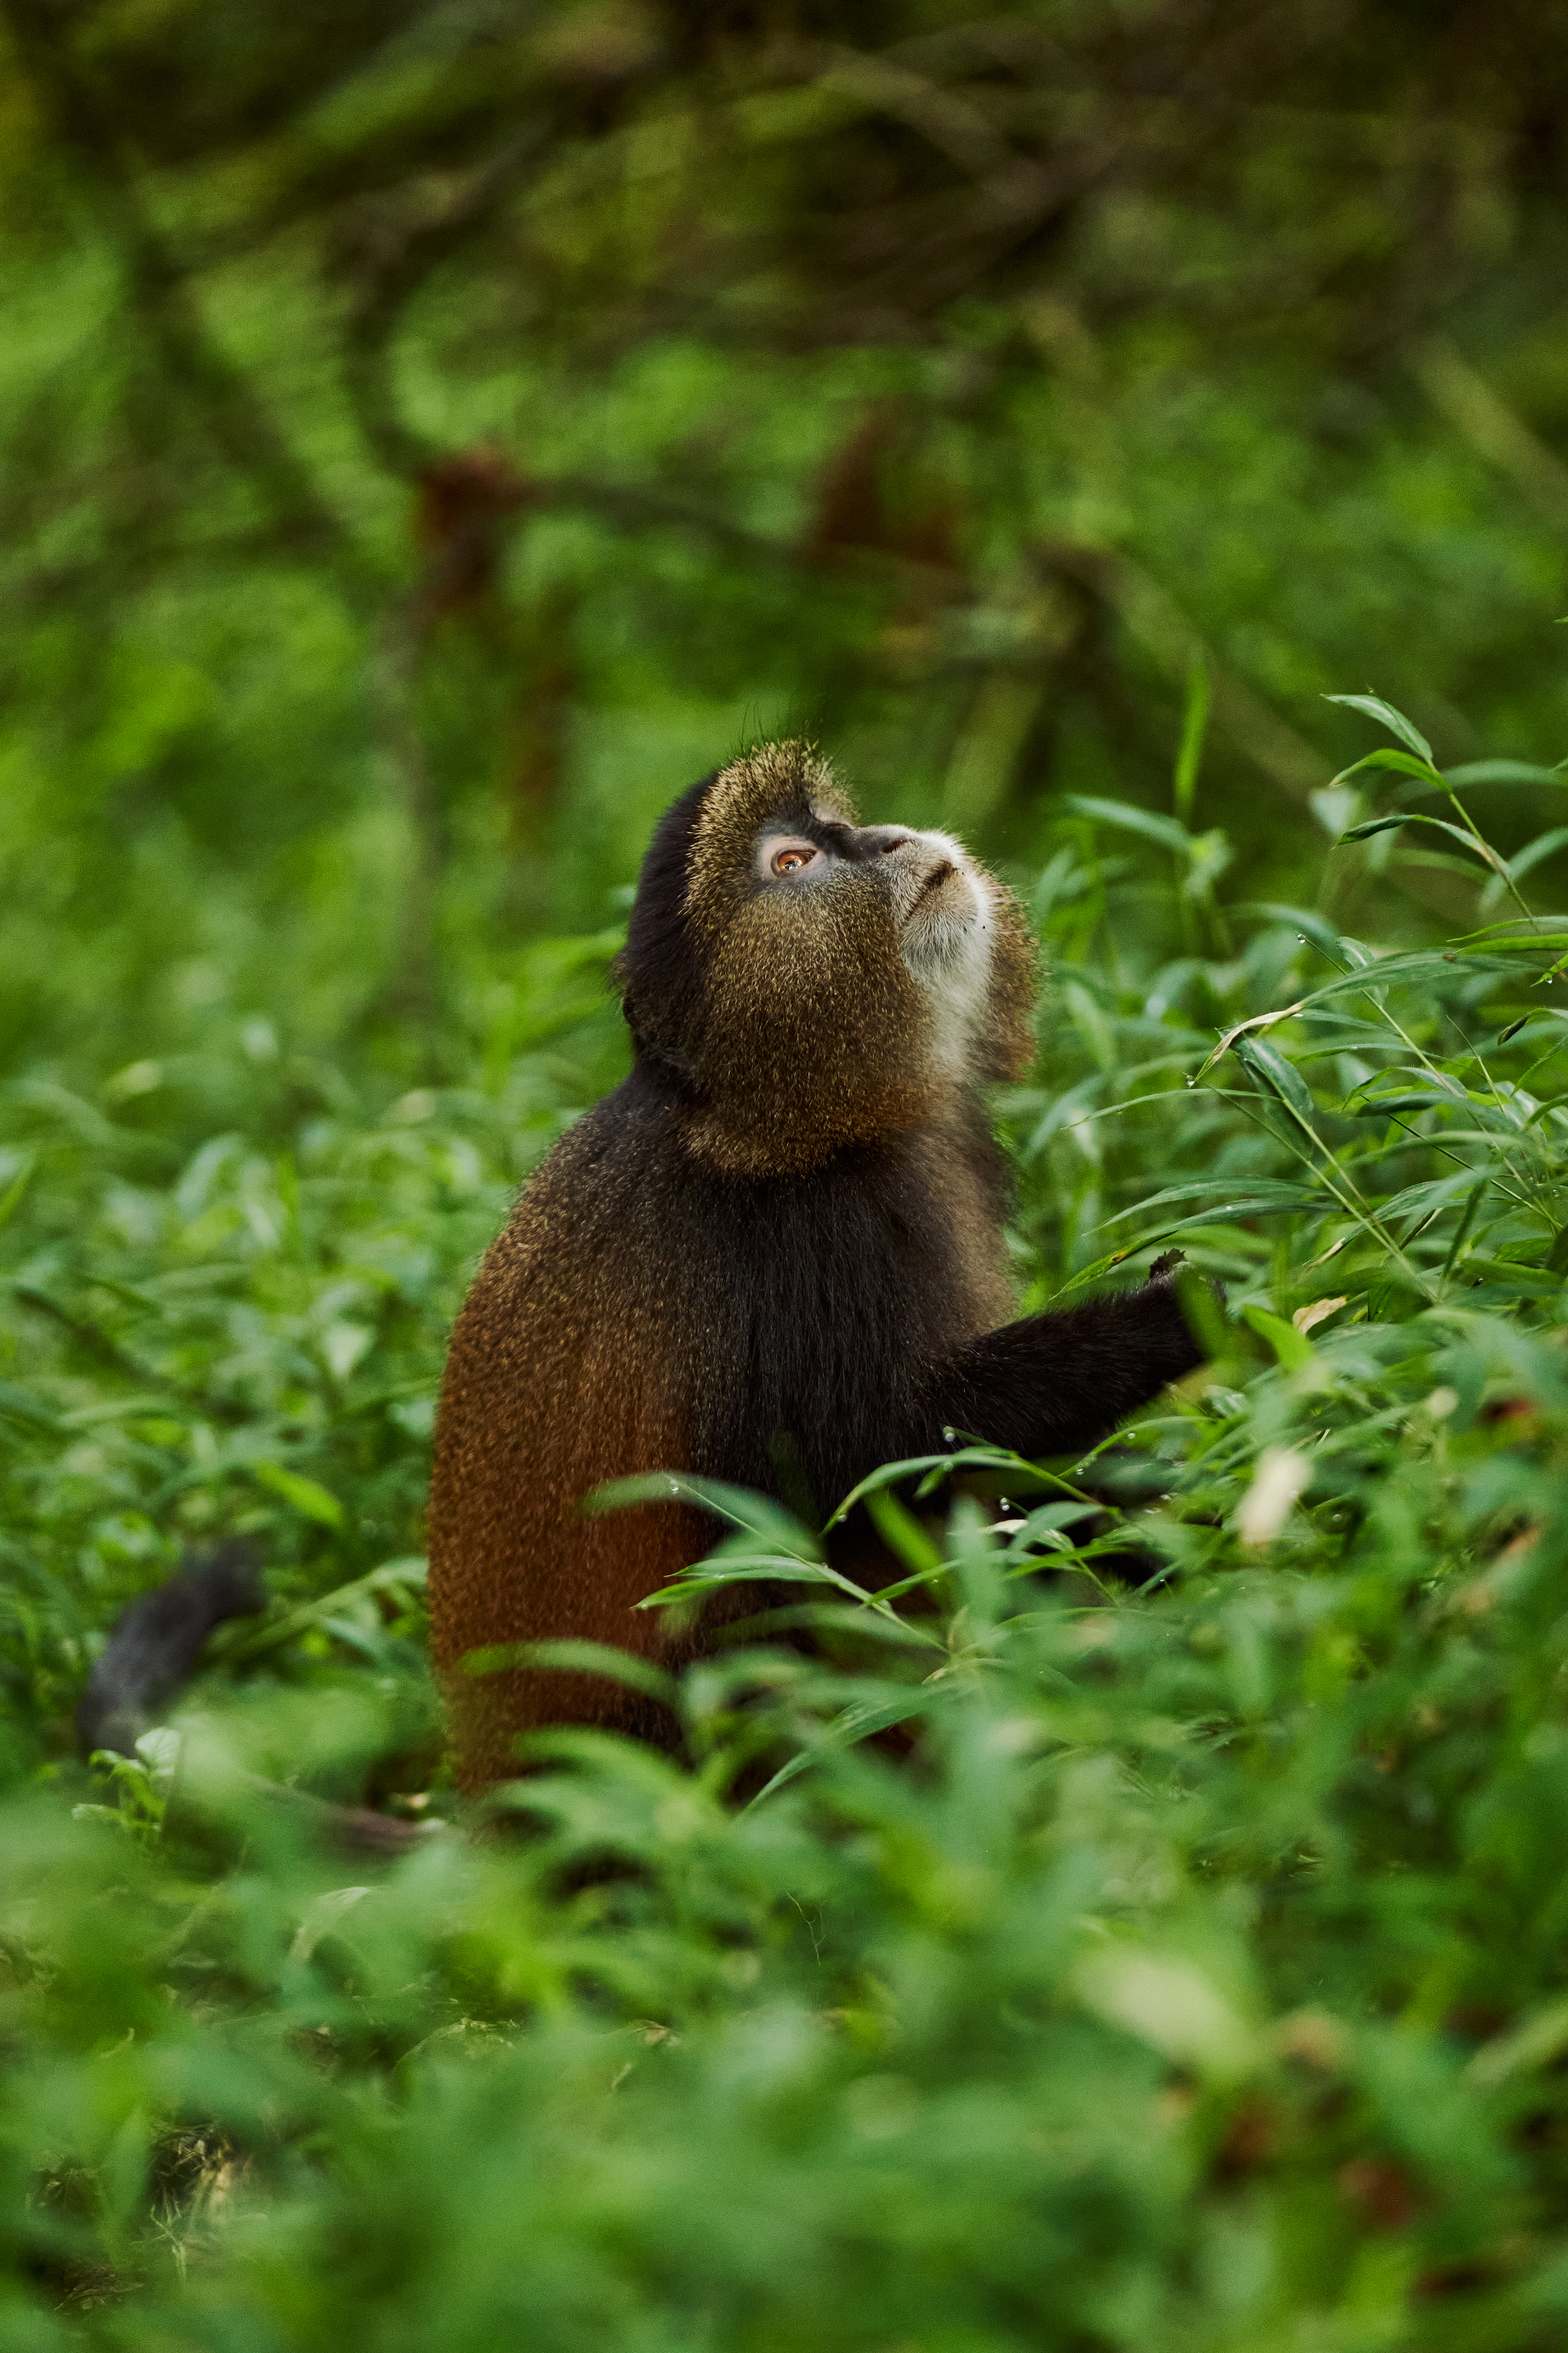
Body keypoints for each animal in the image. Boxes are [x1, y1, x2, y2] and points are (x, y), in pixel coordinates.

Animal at [428, 742, 1206, 1790]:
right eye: (793, 863)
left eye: (834, 826)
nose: (882, 839)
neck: (793, 1127)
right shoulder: (792, 1248)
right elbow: (863, 1467)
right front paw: (1165, 1323)